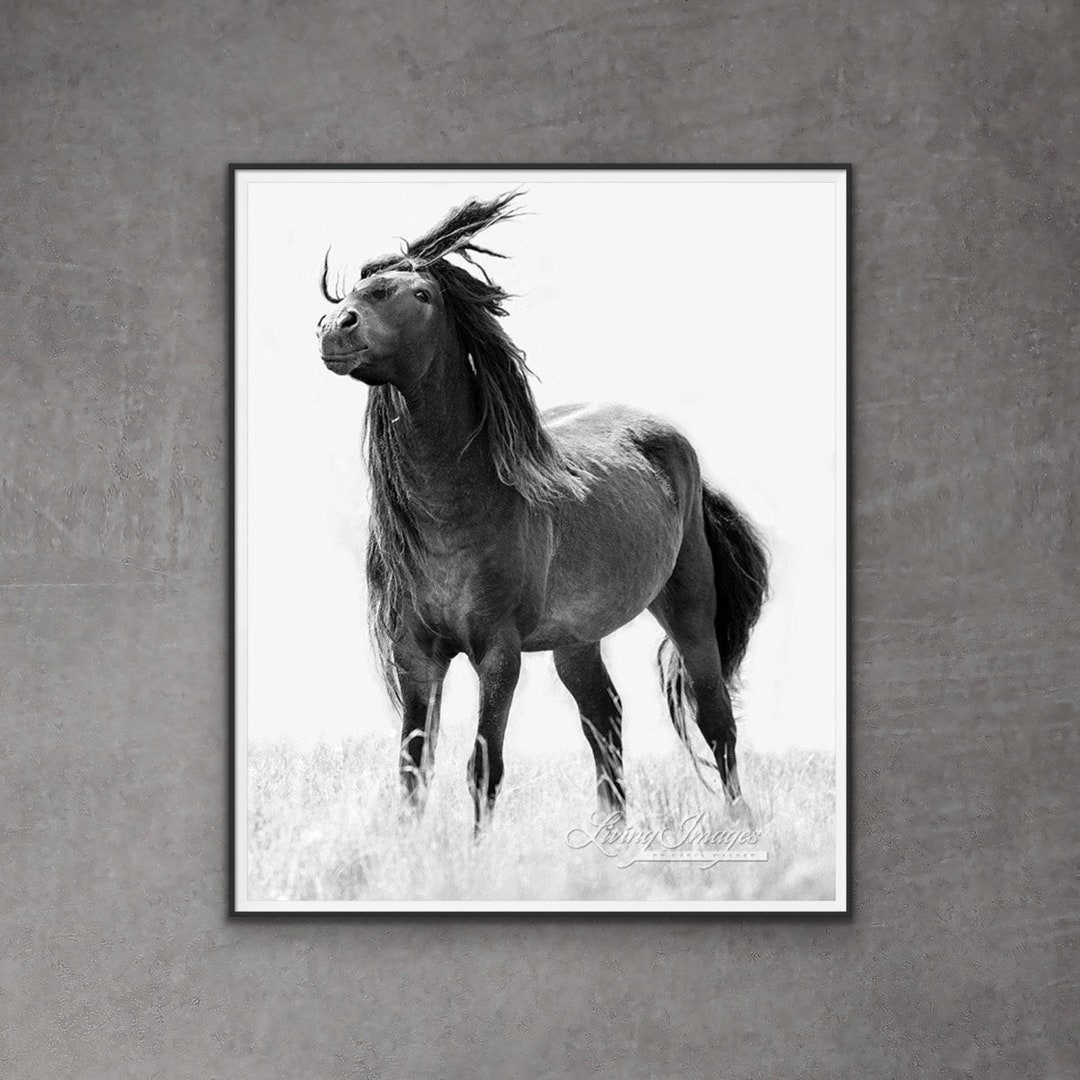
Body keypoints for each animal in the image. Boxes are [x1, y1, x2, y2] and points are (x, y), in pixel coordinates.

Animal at [317, 192, 769, 828]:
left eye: (422, 294)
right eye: (356, 291)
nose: (335, 327)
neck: (458, 512)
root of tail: (677, 447)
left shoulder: (499, 653)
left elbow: (483, 768)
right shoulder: (416, 656)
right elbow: (412, 771)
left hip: (689, 613)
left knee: (715, 720)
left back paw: (738, 824)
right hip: (576, 640)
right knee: (605, 717)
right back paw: (611, 833)